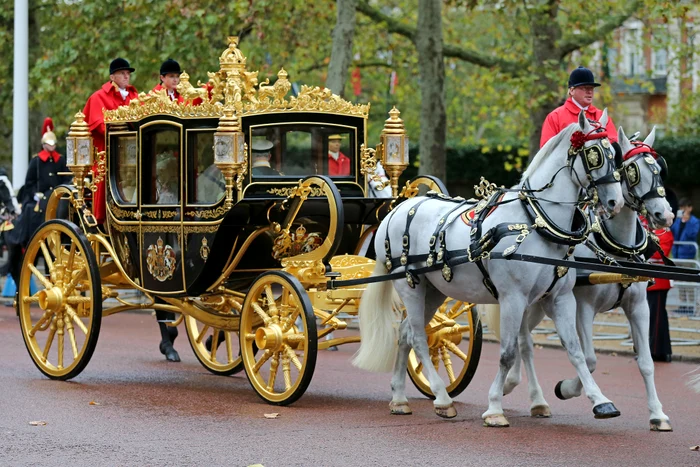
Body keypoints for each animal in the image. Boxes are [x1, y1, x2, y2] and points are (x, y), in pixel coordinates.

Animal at [356, 110, 624, 428]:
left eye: (616, 154)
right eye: (595, 154)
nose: (616, 202)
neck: (535, 221)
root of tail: (396, 209)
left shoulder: (559, 299)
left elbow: (575, 351)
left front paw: (600, 401)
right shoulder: (513, 298)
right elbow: (507, 353)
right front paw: (495, 407)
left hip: (433, 291)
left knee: (407, 332)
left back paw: (399, 398)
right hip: (411, 286)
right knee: (419, 338)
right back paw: (443, 399)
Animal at [504, 127, 680, 432]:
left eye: (659, 169)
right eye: (631, 171)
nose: (665, 215)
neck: (616, 249)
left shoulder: (639, 308)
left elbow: (646, 362)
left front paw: (658, 414)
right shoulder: (583, 307)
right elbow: (590, 358)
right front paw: (567, 389)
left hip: (538, 305)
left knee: (522, 339)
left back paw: (527, 395)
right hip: (528, 301)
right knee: (524, 342)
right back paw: (526, 393)